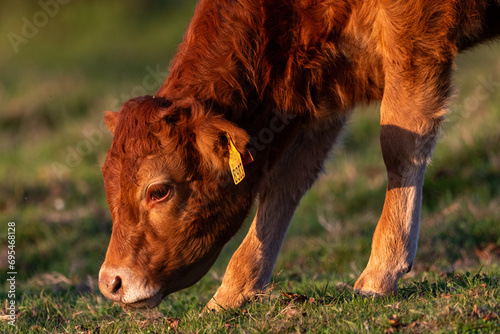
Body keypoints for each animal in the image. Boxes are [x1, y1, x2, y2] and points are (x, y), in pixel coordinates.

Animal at [98, 0, 500, 310]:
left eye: (158, 191)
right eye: (108, 190)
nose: (110, 283)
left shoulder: (415, 36)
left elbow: (400, 143)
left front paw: (381, 270)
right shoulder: (323, 90)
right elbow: (286, 182)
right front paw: (232, 292)